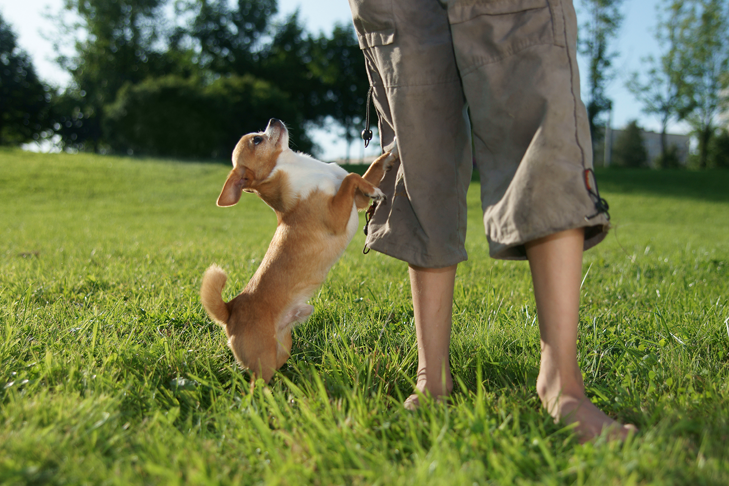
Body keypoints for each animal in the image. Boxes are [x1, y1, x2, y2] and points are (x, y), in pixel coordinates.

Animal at [199, 118, 398, 384]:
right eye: (257, 139)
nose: (273, 119)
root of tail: (230, 310)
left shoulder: (357, 203)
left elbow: (365, 171)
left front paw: (390, 152)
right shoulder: (337, 218)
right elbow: (352, 177)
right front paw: (374, 187)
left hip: (282, 348)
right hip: (262, 361)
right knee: (254, 383)